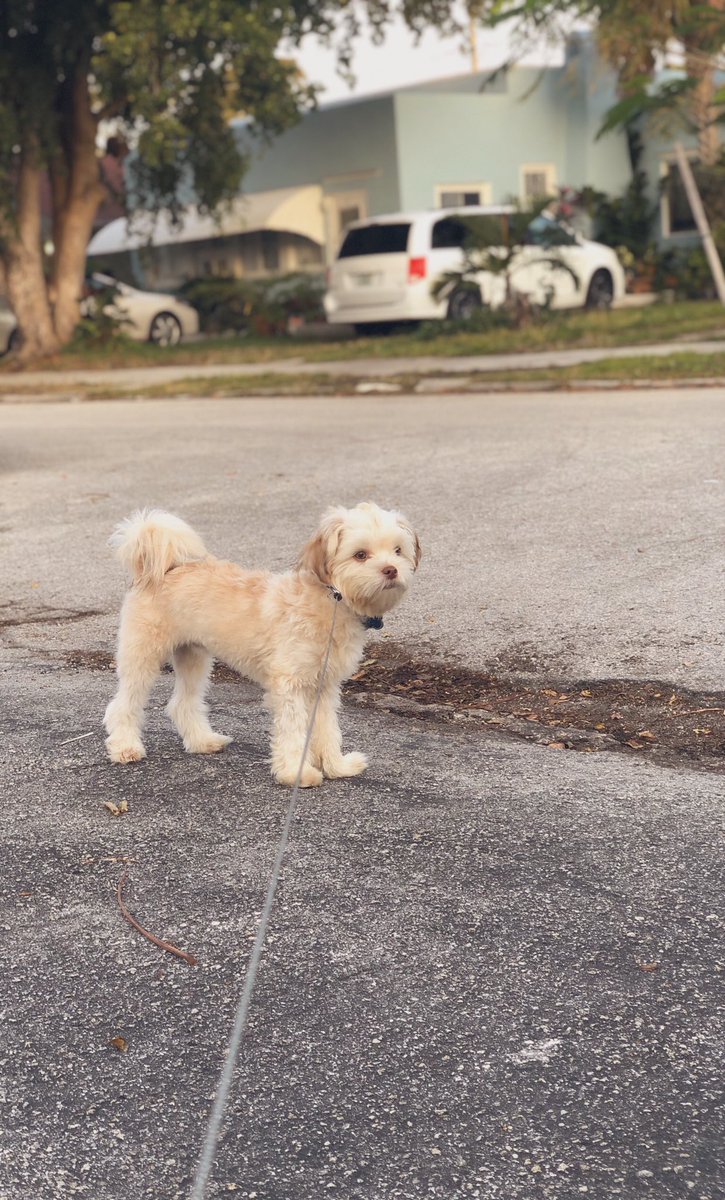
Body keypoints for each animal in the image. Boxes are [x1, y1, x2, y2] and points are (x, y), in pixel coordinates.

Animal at [103, 503, 420, 787]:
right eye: (360, 555)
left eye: (397, 550)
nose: (391, 570)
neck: (331, 601)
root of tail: (165, 568)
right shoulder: (290, 684)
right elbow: (293, 731)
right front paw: (295, 773)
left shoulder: (324, 686)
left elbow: (327, 730)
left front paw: (336, 766)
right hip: (142, 655)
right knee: (123, 704)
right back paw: (125, 747)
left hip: (194, 657)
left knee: (183, 703)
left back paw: (203, 741)